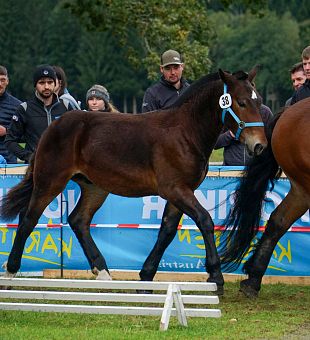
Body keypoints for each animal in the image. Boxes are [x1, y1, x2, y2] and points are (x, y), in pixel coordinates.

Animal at [0, 67, 266, 294]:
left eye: (259, 101)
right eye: (242, 102)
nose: (259, 145)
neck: (185, 132)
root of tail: (53, 126)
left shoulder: (180, 192)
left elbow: (167, 231)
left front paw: (145, 278)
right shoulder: (176, 189)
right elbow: (204, 221)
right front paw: (216, 277)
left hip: (95, 187)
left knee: (78, 220)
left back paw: (103, 272)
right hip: (50, 181)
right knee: (28, 220)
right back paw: (11, 273)